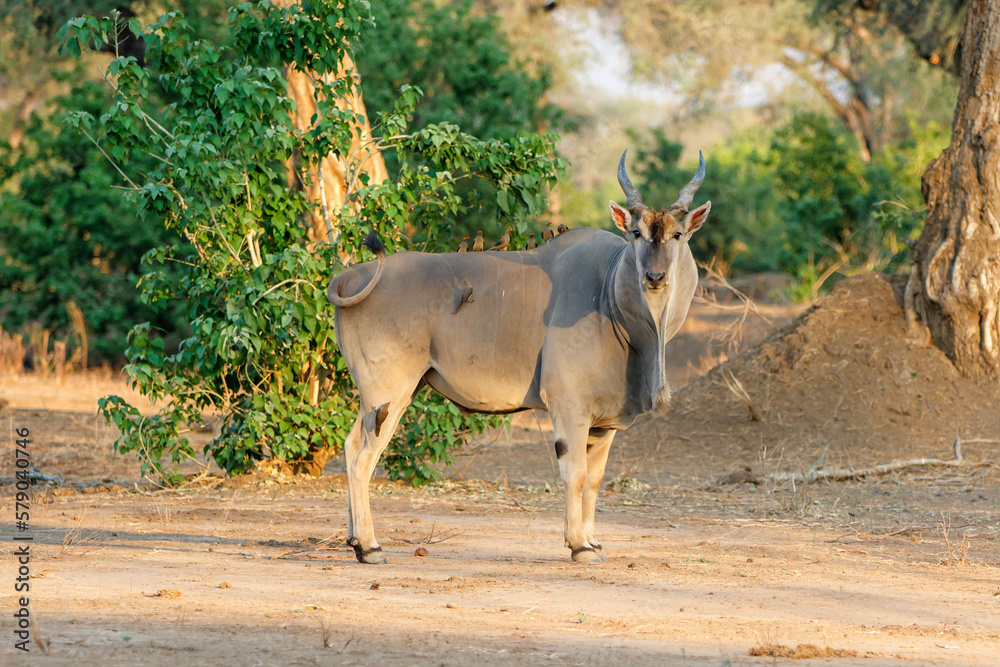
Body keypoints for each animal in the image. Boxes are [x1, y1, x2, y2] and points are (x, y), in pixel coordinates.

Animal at [327, 151, 711, 564]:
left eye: (678, 234)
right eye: (636, 233)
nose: (655, 277)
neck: (610, 296)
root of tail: (351, 277)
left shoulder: (602, 423)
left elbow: (594, 480)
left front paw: (593, 542)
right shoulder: (568, 407)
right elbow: (575, 475)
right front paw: (579, 546)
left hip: (386, 396)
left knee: (350, 447)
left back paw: (353, 540)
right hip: (388, 395)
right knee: (362, 458)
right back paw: (370, 547)